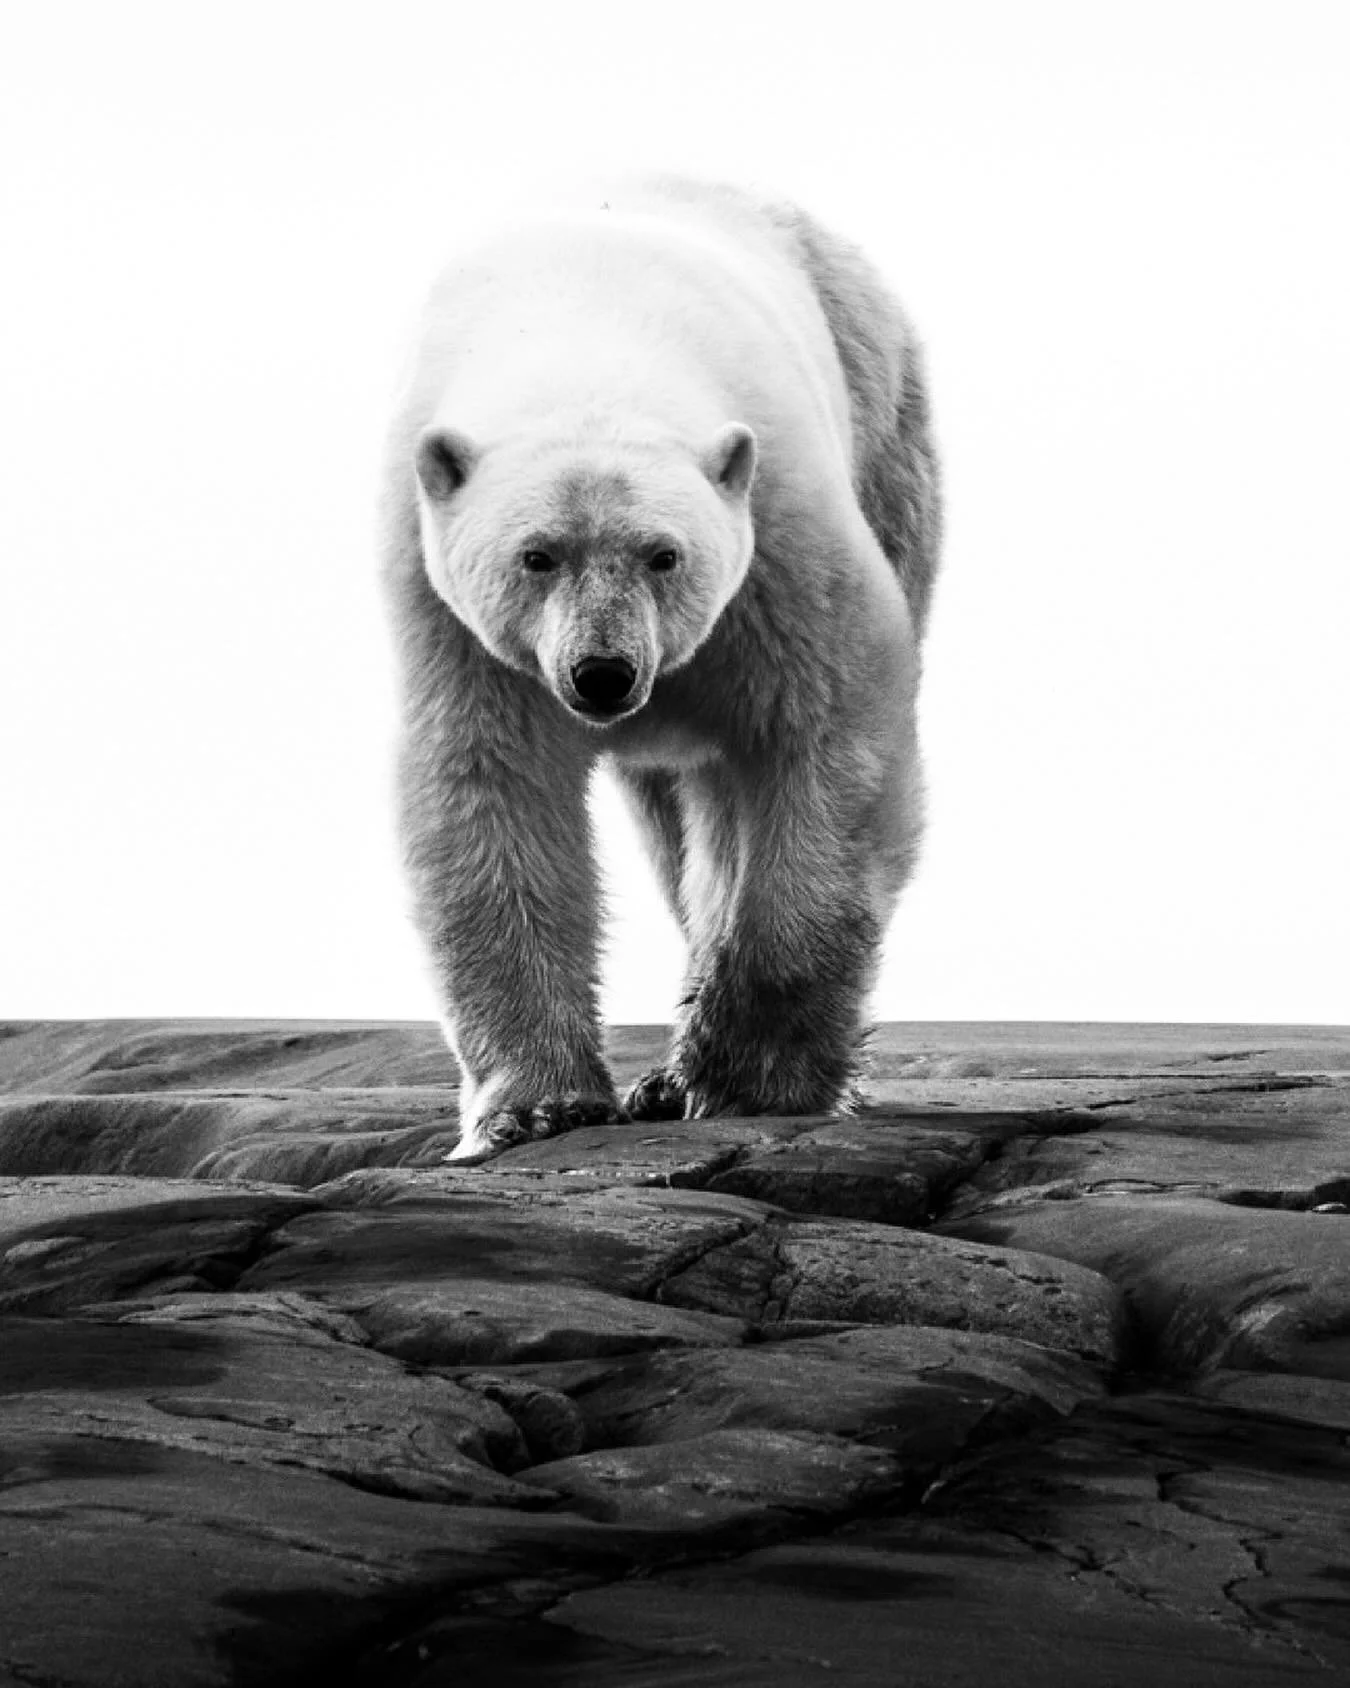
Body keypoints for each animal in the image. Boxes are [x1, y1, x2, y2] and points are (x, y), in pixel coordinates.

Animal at [378, 176, 941, 1159]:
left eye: (663, 554)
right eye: (537, 556)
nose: (603, 673)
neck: (586, 337)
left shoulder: (777, 536)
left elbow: (828, 737)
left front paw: (748, 1076)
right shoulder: (449, 610)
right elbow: (491, 792)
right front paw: (537, 1106)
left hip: (885, 424)